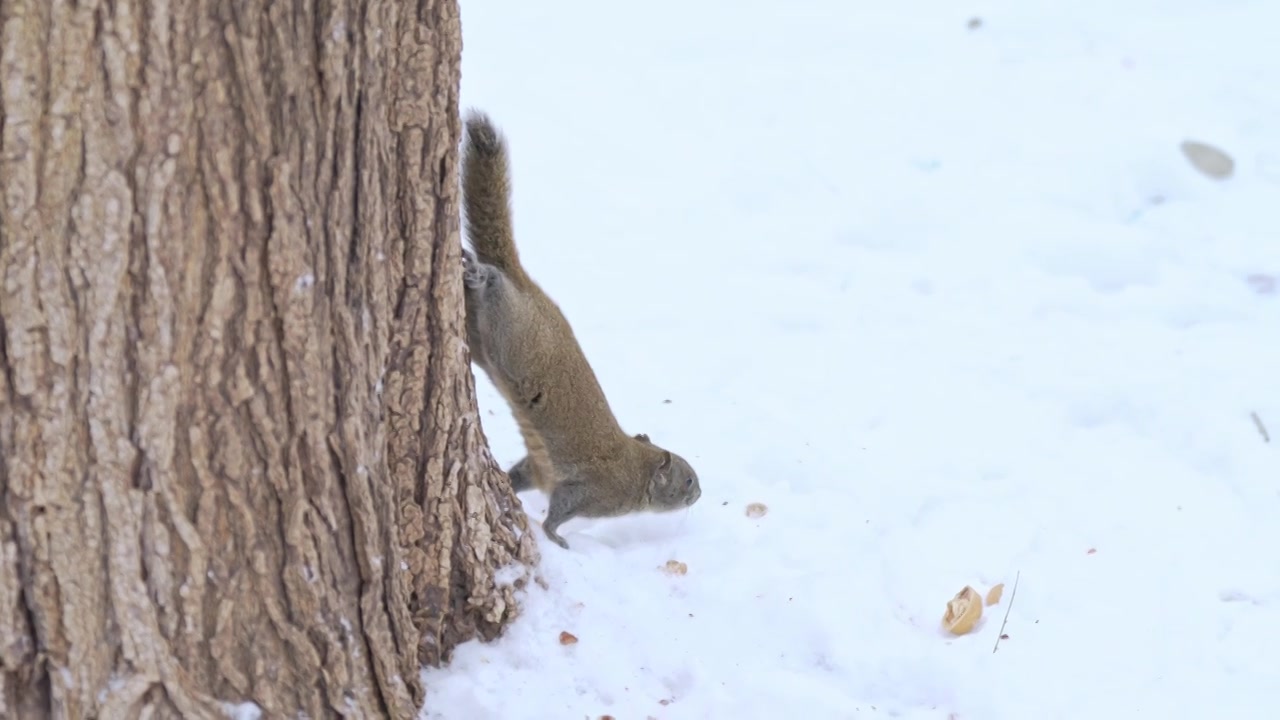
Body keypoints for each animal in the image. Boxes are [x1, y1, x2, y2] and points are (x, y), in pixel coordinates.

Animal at [458, 109, 701, 545]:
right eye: (686, 480)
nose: (701, 493)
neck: (634, 465)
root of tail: (528, 287)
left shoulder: (538, 468)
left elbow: (520, 475)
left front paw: (504, 484)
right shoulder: (590, 492)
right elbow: (559, 512)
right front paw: (557, 538)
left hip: (482, 338)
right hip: (512, 329)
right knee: (496, 285)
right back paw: (480, 273)